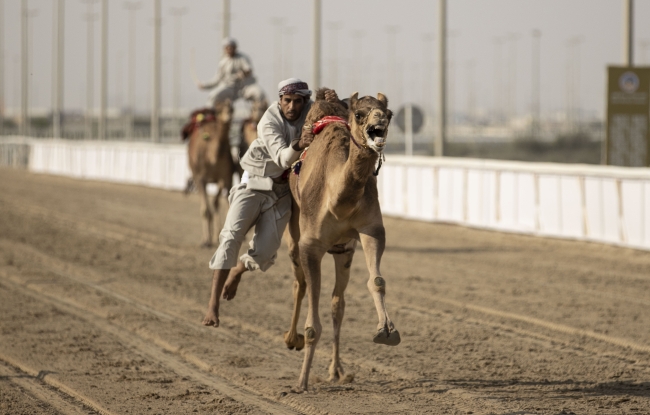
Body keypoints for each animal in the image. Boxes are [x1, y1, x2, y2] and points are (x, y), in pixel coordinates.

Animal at [284, 89, 400, 392]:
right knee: (299, 283)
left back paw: (337, 370)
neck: (338, 198)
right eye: (359, 114)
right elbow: (313, 322)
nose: (380, 119)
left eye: (389, 112)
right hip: (295, 229)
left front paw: (387, 331)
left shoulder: (370, 230)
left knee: (338, 304)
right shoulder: (310, 245)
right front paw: (301, 383)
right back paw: (291, 339)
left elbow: (377, 281)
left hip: (344, 250)